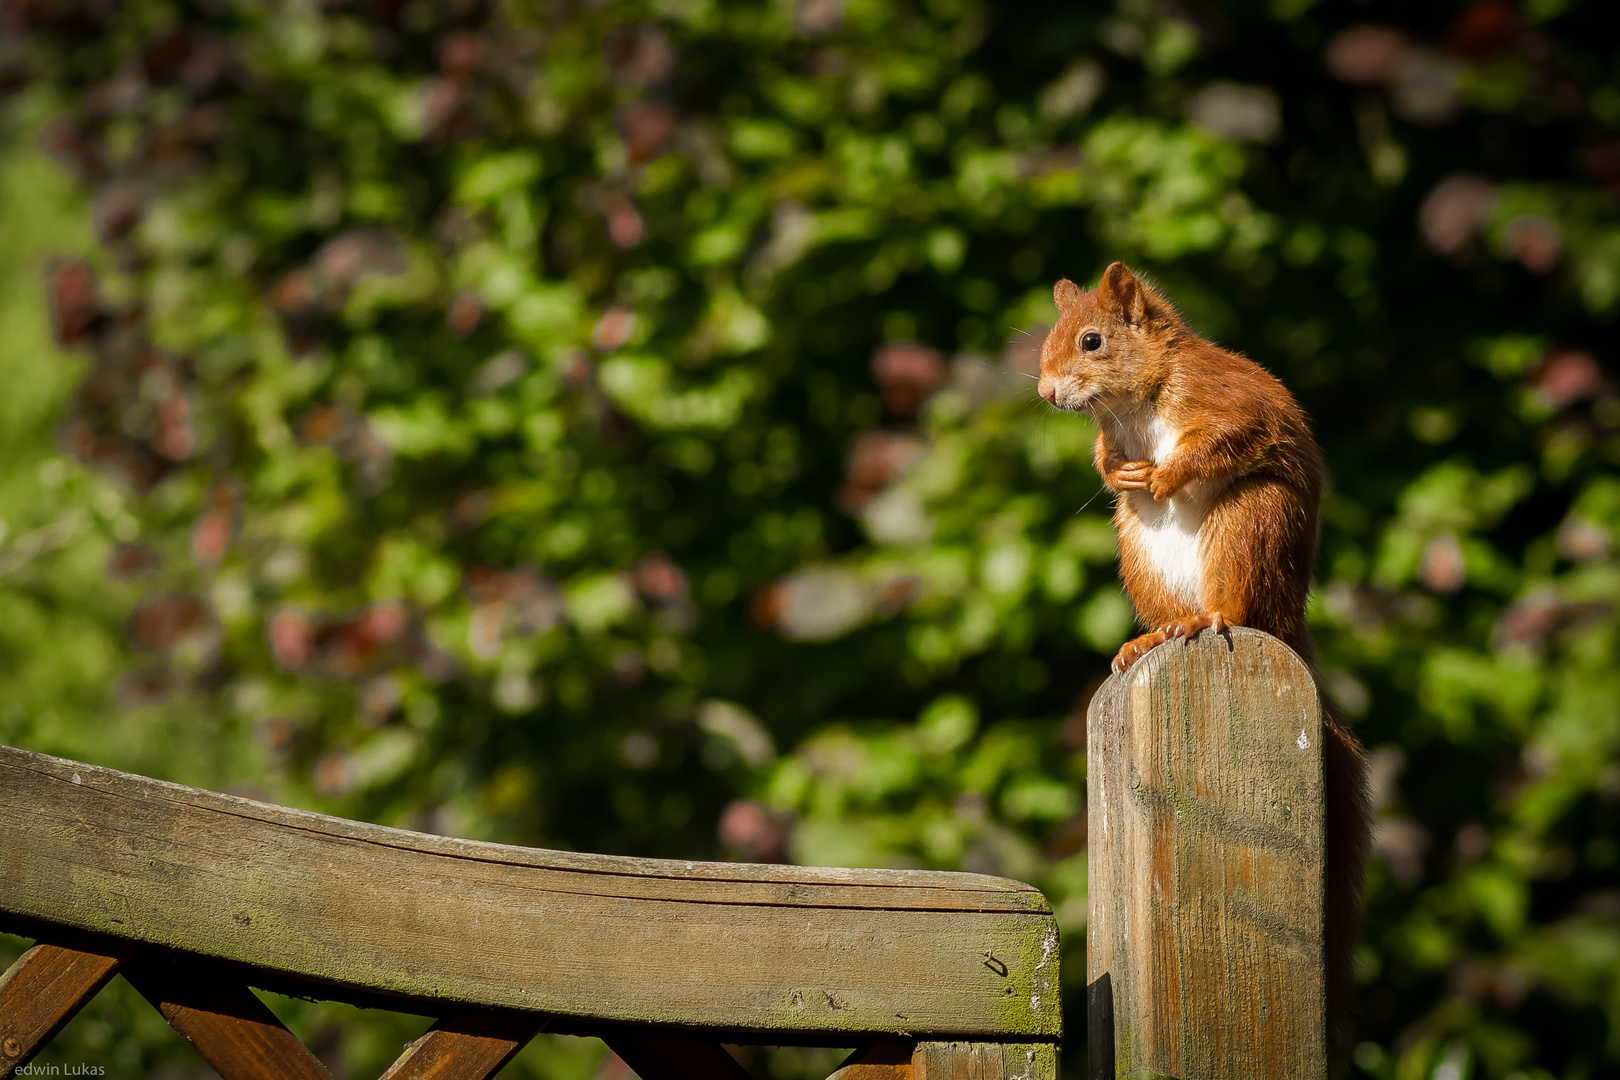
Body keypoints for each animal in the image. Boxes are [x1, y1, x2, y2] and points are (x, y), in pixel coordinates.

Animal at [1036, 259, 1367, 1049]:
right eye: (1052, 338)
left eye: (1091, 341)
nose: (1047, 391)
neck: (1135, 402)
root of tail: (1287, 623)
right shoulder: (1114, 435)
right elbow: (1106, 460)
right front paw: (1117, 470)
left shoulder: (1225, 401)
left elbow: (1227, 435)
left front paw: (1162, 473)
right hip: (1138, 548)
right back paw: (1153, 635)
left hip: (1250, 522)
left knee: (1237, 600)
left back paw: (1214, 616)